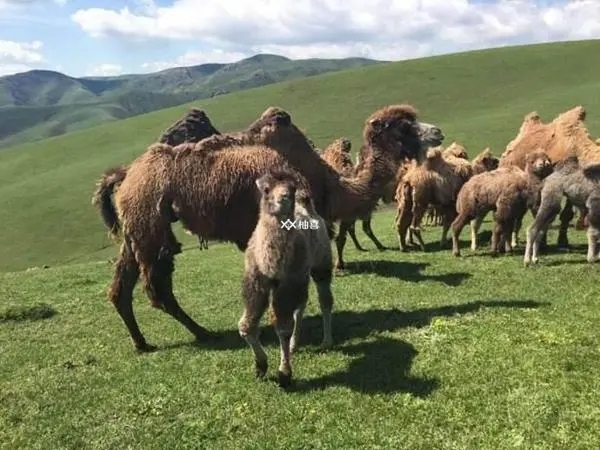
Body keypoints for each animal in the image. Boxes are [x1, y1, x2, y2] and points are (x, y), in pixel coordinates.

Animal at [91, 104, 442, 352]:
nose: (437, 132)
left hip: (136, 227)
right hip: (151, 223)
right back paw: (202, 332)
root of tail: (125, 175)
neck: (326, 181)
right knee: (157, 287)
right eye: (405, 125)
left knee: (121, 286)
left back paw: (142, 342)